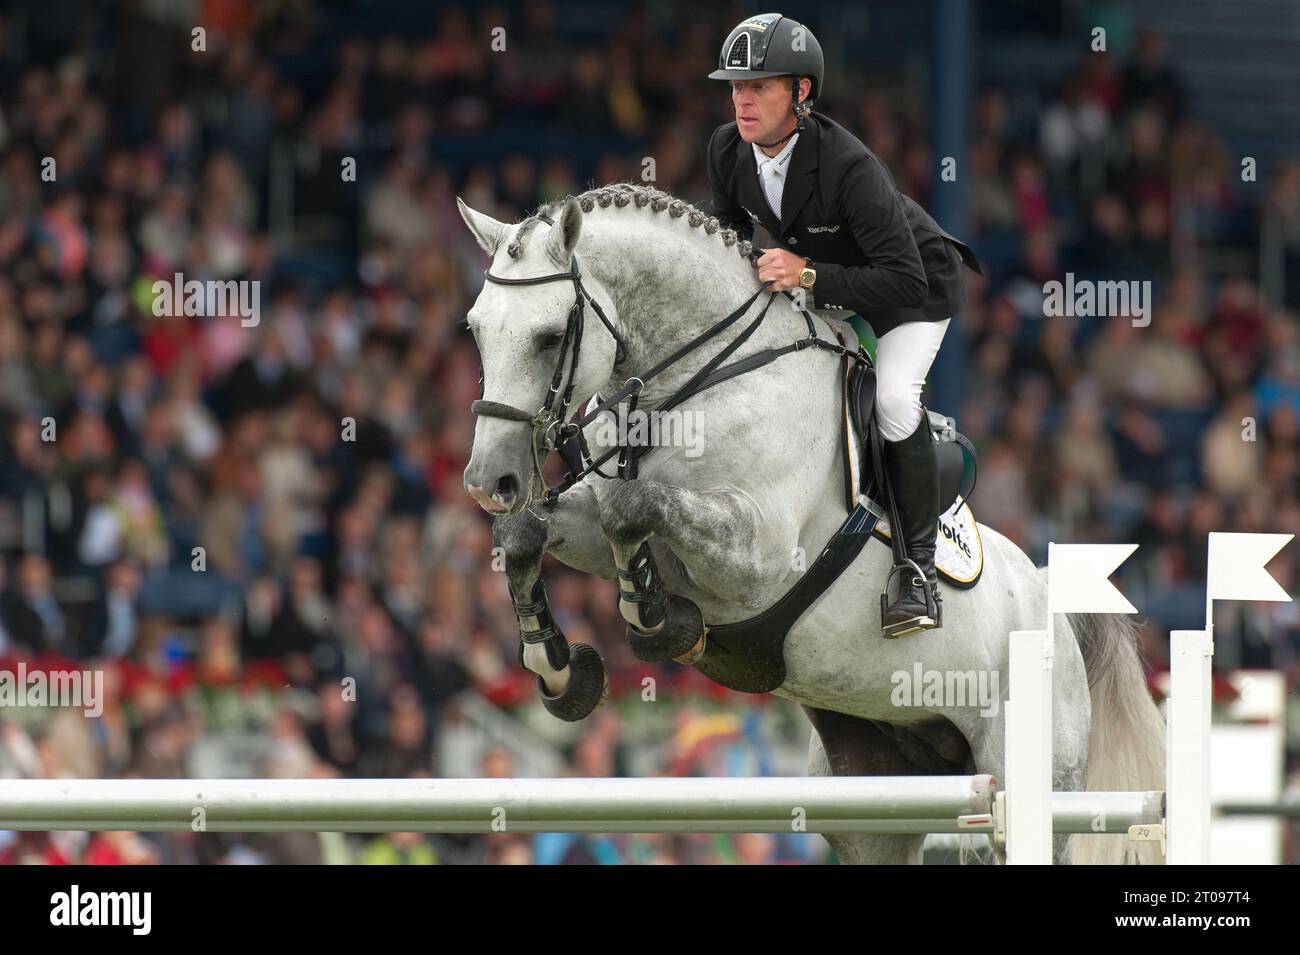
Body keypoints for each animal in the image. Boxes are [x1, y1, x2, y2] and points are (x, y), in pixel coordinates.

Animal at [460, 183, 1170, 862]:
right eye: (475, 330)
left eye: (551, 336)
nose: (490, 482)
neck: (690, 386)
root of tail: (1049, 599)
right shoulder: (594, 527)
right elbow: (531, 535)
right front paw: (559, 668)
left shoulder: (757, 557)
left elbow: (631, 508)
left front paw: (657, 621)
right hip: (872, 793)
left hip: (1029, 776)